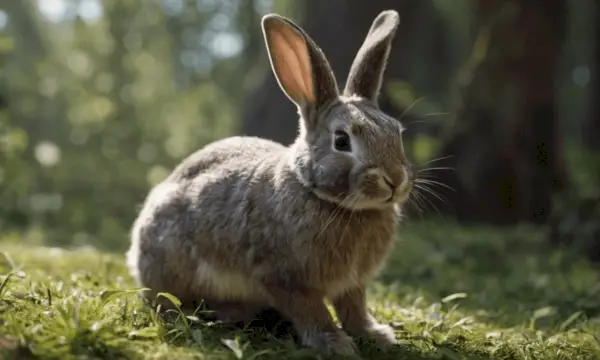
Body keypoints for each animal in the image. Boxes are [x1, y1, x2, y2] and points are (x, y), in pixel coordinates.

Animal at [126, 9, 412, 356]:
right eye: (342, 141)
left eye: (396, 132)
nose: (395, 179)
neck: (321, 196)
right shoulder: (284, 278)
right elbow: (312, 311)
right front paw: (334, 344)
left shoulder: (352, 284)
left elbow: (353, 308)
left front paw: (375, 335)